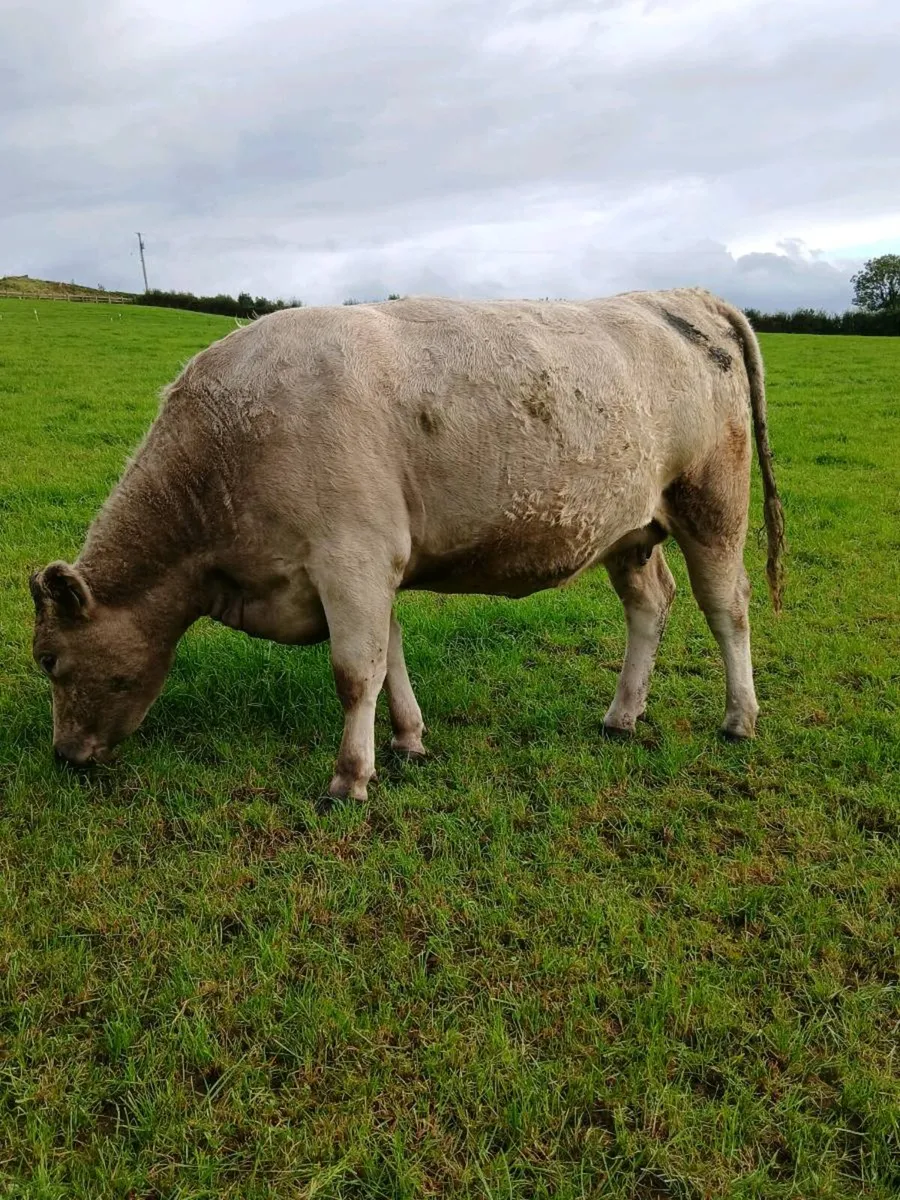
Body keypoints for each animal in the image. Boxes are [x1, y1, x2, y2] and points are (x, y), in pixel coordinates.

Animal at [30, 288, 785, 800]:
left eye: (48, 659)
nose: (65, 755)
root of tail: (679, 296)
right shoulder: (371, 568)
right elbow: (389, 657)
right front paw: (408, 740)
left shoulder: (351, 559)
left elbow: (354, 671)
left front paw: (349, 777)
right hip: (632, 527)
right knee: (649, 604)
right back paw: (623, 715)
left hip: (712, 501)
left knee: (727, 606)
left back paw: (740, 718)